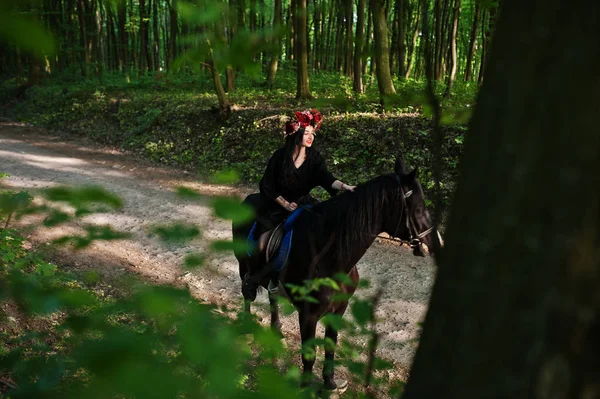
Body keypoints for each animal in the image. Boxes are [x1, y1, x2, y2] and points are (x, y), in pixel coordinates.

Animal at [231, 158, 436, 392]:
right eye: (418, 206)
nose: (432, 241)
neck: (329, 257)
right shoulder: (308, 314)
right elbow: (309, 354)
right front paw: (305, 387)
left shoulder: (339, 309)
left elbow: (330, 347)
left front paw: (329, 383)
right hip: (243, 267)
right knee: (247, 293)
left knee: (272, 298)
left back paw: (277, 331)